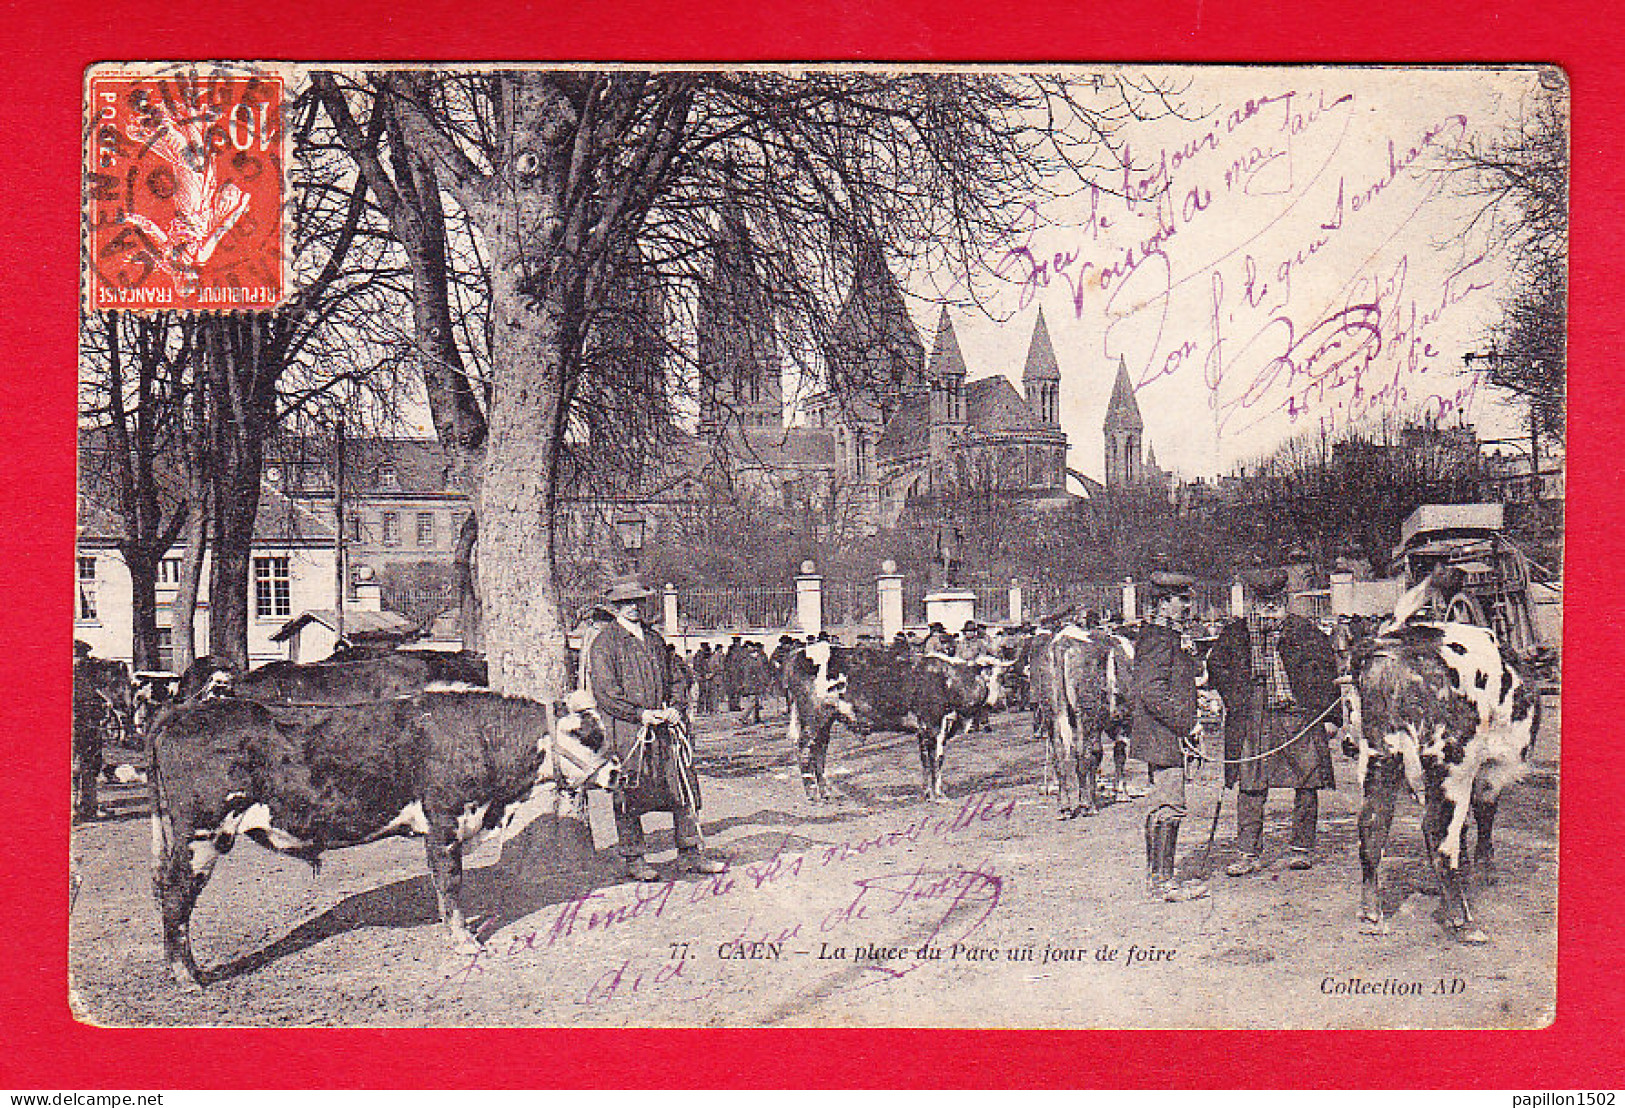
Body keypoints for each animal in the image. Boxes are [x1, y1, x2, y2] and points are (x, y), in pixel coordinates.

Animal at [149, 688, 611, 981]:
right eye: (587, 736)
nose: (619, 773)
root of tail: (180, 713)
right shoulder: (444, 822)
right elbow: (450, 885)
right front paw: (465, 943)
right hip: (202, 834)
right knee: (175, 895)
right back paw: (186, 974)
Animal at [780, 640, 1007, 802]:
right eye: (992, 677)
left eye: (1001, 677)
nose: (1000, 702)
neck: (949, 679)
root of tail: (798, 653)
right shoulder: (936, 725)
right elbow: (937, 759)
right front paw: (939, 795)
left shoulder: (923, 729)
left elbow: (925, 761)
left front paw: (928, 793)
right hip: (813, 717)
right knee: (804, 750)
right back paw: (812, 794)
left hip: (825, 721)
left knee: (820, 751)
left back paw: (826, 793)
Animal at [1352, 620, 1540, 942]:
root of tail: (1392, 646)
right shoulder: (1490, 773)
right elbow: (1484, 817)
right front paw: (1484, 873)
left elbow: (1466, 826)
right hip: (1453, 762)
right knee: (1438, 833)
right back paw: (1465, 923)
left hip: (1379, 755)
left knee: (1372, 825)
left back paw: (1371, 917)